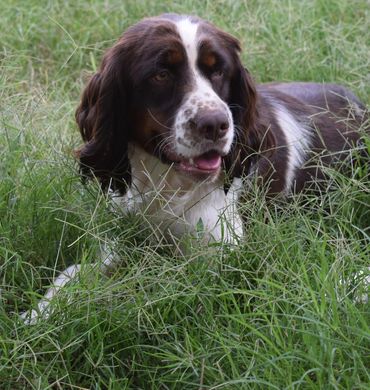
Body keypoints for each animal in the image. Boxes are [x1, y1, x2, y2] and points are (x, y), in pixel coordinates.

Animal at [21, 13, 368, 322]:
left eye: (219, 71)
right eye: (161, 74)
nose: (215, 124)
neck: (167, 183)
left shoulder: (223, 262)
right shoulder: (120, 237)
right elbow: (75, 273)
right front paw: (36, 314)